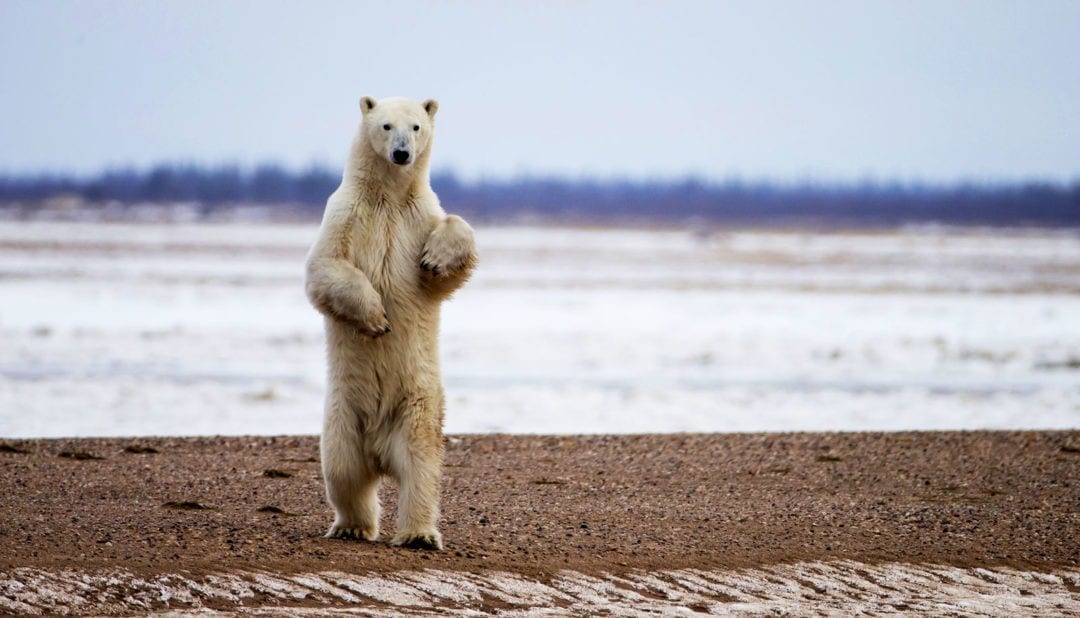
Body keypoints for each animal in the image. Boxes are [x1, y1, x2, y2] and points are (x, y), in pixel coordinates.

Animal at [304, 95, 476, 551]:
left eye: (415, 126)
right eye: (385, 125)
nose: (402, 154)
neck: (388, 197)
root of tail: (380, 452)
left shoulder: (419, 216)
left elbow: (453, 248)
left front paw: (435, 259)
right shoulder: (344, 213)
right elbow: (325, 268)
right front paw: (377, 319)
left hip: (417, 405)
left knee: (422, 467)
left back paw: (418, 534)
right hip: (343, 413)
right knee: (344, 470)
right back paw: (351, 525)